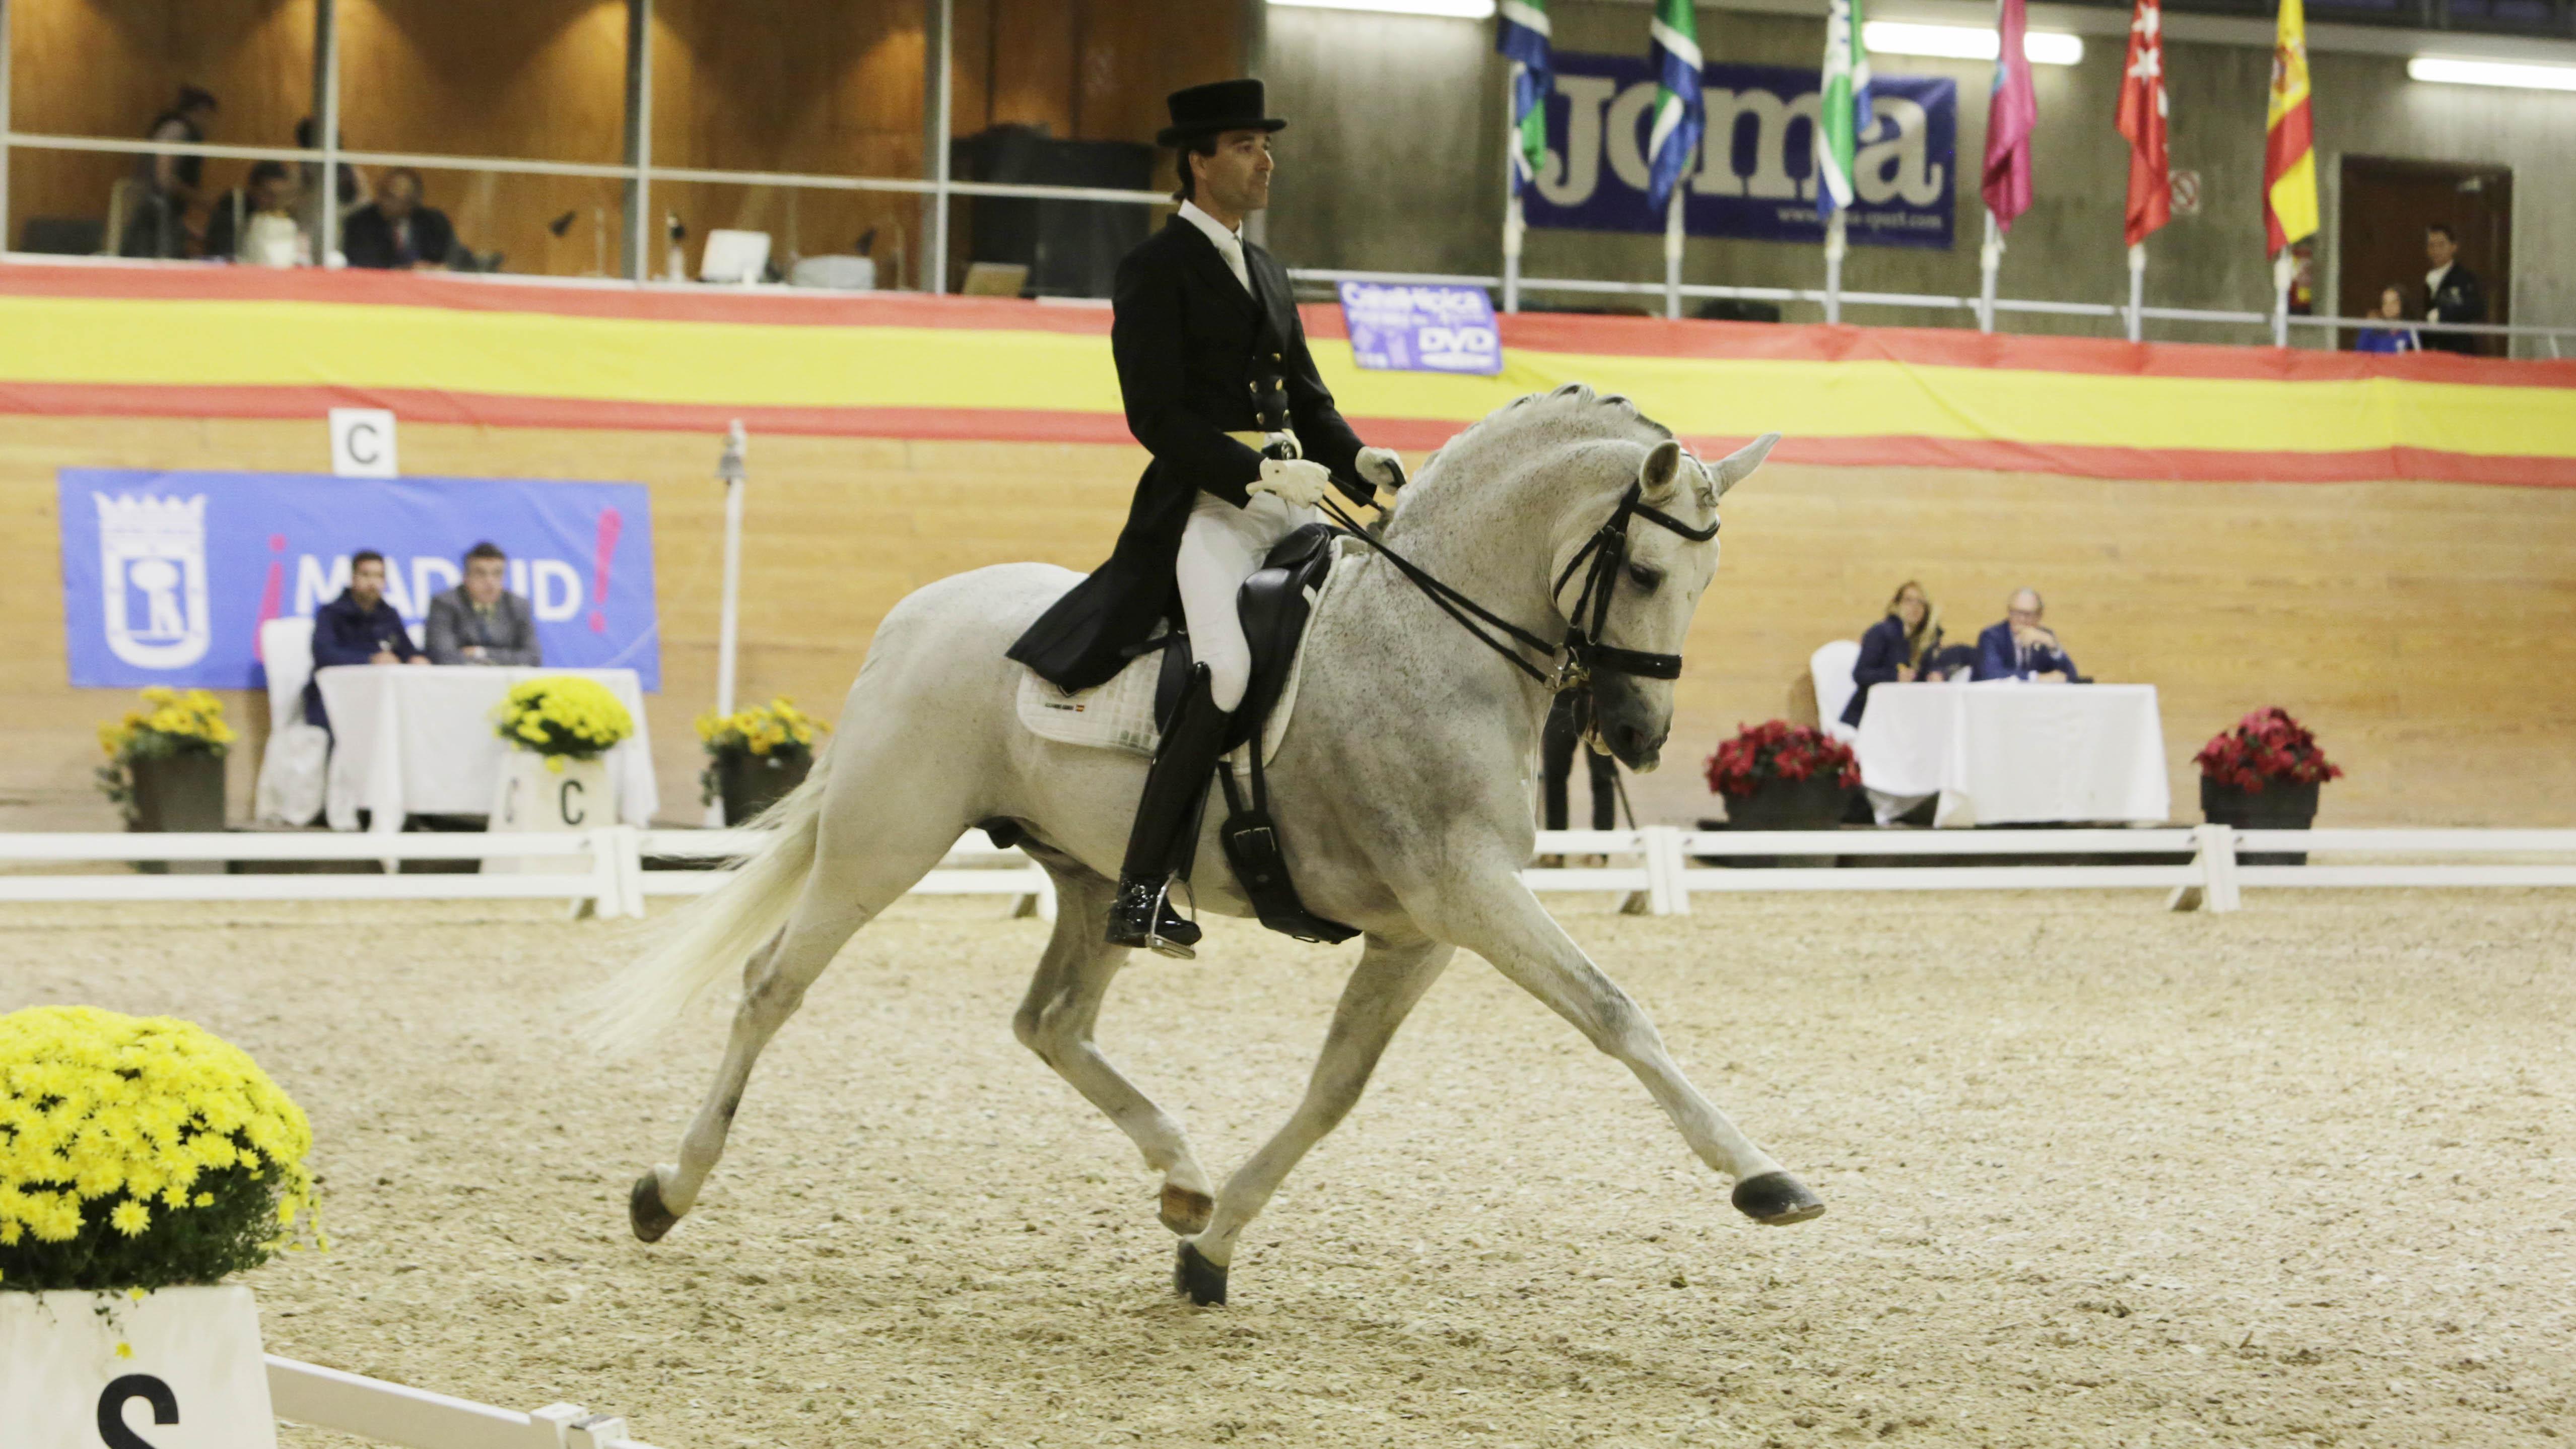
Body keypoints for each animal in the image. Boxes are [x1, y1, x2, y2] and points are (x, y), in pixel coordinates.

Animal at [592, 381, 1823, 1299]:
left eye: (1704, 581)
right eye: (1649, 573)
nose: (1637, 734)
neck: (1433, 638)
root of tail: (912, 618)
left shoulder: (1423, 929)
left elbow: (1335, 1090)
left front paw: (1212, 1244)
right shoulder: (1468, 893)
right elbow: (1615, 1012)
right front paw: (1761, 1177)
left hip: (1092, 875)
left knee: (1050, 1022)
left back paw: (1179, 1174)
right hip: (881, 845)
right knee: (771, 987)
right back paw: (666, 1189)